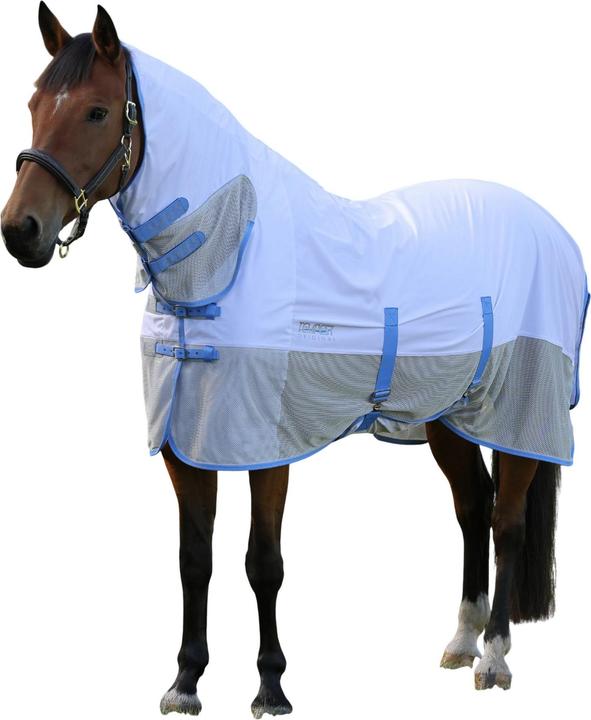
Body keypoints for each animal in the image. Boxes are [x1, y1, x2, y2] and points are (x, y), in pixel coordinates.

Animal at [2, 3, 587, 717]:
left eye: (96, 111)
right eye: (33, 103)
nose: (20, 231)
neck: (226, 258)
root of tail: (554, 231)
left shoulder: (266, 443)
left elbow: (264, 563)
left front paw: (271, 686)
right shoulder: (186, 443)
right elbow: (194, 559)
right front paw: (186, 681)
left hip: (519, 414)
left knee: (507, 523)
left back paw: (495, 658)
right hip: (451, 417)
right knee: (473, 508)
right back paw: (459, 642)